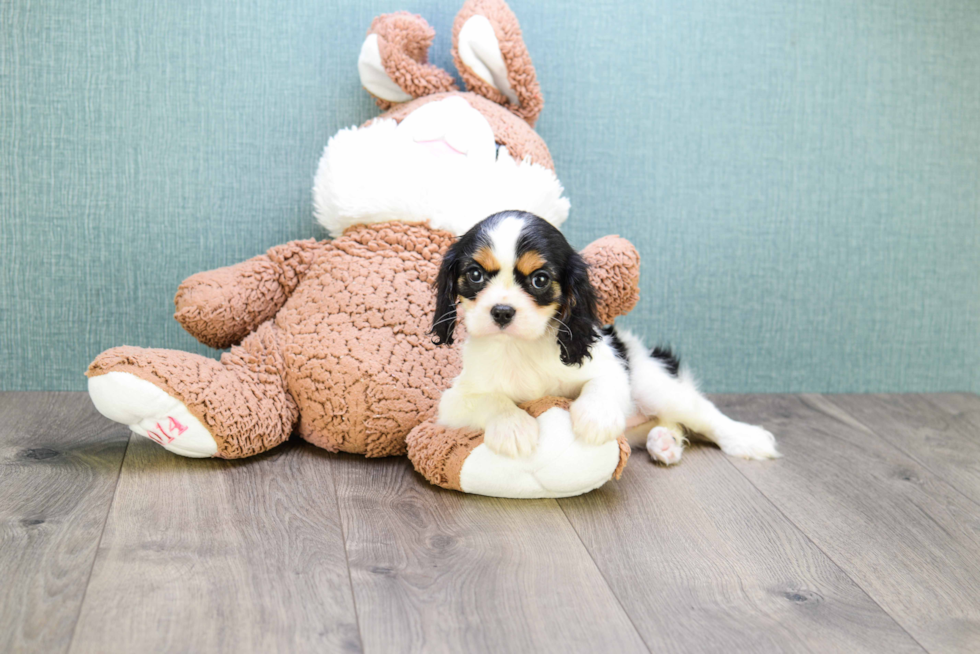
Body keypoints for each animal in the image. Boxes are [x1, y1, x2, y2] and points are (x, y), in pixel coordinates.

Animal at [432, 211, 776, 466]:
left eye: (540, 280)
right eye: (475, 275)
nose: (502, 311)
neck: (520, 346)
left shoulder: (610, 364)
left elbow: (601, 384)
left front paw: (595, 418)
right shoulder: (454, 400)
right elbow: (491, 400)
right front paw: (512, 426)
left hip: (652, 384)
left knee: (703, 414)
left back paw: (747, 439)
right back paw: (665, 442)